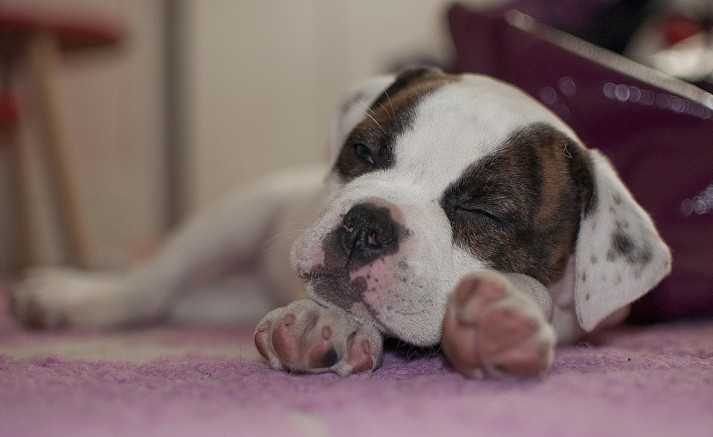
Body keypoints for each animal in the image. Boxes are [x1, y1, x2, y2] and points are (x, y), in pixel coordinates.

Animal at [12, 67, 671, 379]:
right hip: (235, 215)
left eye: (482, 211)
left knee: (181, 301)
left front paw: (499, 314)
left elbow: (536, 295)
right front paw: (325, 320)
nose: (366, 222)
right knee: (151, 287)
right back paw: (71, 297)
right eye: (364, 153)